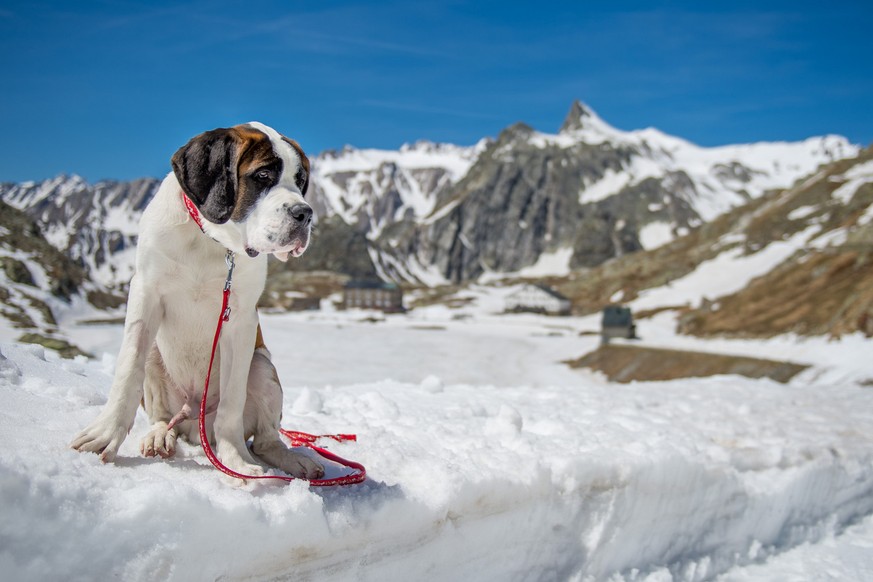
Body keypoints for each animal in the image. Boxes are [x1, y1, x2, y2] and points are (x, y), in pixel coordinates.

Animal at [70, 123, 324, 484]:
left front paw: (235, 461)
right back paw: (159, 436)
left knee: (264, 440)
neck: (211, 239)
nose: (304, 213)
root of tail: (193, 415)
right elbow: (127, 371)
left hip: (262, 366)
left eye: (300, 181)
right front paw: (104, 434)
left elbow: (232, 403)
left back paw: (293, 460)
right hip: (157, 356)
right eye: (262, 176)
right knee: (163, 415)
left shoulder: (241, 320)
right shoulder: (145, 293)